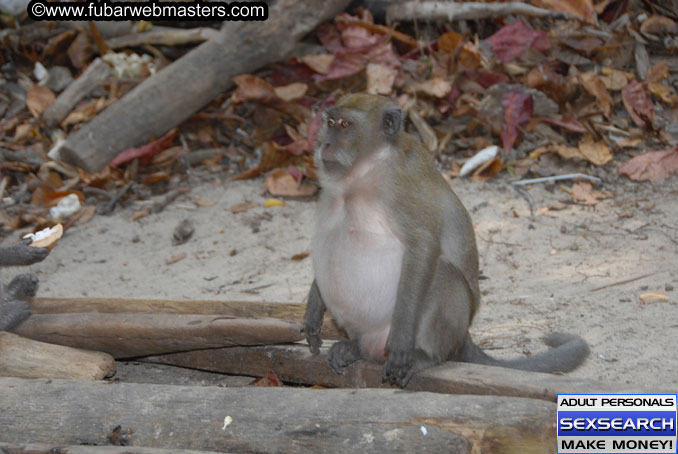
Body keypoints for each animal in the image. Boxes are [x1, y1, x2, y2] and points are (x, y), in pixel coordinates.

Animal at [302, 92, 588, 386]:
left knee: (443, 273)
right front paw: (314, 307)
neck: (360, 177)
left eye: (345, 125)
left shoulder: (399, 190)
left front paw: (402, 341)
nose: (325, 144)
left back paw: (426, 356)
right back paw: (354, 349)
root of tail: (463, 338)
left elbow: (423, 246)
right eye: (330, 123)